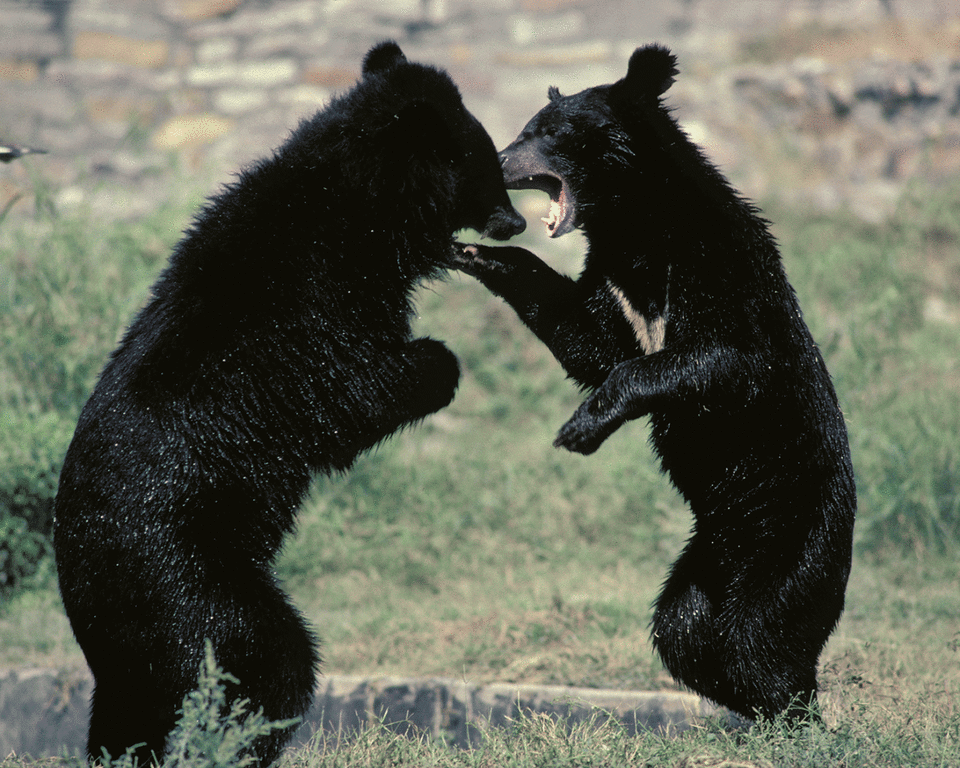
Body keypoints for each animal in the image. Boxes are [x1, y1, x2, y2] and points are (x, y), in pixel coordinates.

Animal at [54, 43, 524, 768]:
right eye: (488, 168)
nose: (518, 220)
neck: (364, 203)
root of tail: (81, 575)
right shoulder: (317, 304)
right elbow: (354, 390)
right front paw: (437, 363)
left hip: (141, 627)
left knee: (131, 711)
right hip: (188, 578)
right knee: (264, 659)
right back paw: (240, 743)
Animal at [454, 45, 860, 724]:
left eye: (549, 133)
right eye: (527, 128)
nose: (499, 161)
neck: (636, 225)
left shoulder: (716, 270)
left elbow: (720, 357)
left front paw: (579, 429)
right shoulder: (615, 279)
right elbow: (591, 340)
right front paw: (476, 254)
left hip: (792, 541)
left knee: (756, 637)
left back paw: (792, 719)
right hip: (708, 562)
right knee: (685, 629)